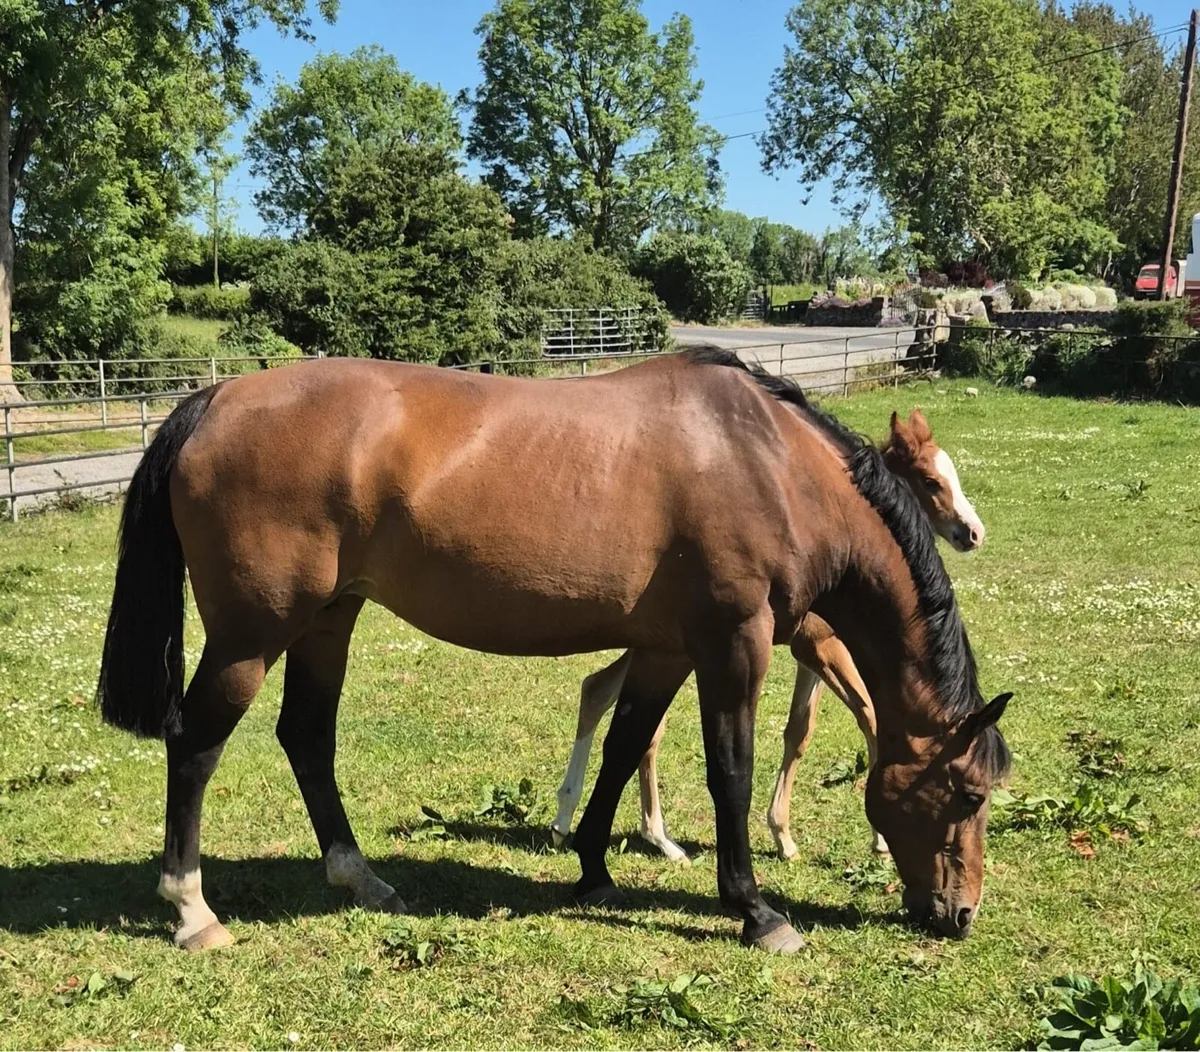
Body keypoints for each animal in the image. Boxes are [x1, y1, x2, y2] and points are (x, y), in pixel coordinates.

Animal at [549, 409, 987, 863]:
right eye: (931, 481)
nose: (974, 532)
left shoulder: (813, 652)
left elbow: (799, 730)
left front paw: (783, 834)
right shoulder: (820, 647)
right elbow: (869, 715)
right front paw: (880, 839)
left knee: (598, 689)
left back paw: (570, 820)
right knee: (634, 718)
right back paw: (653, 837)